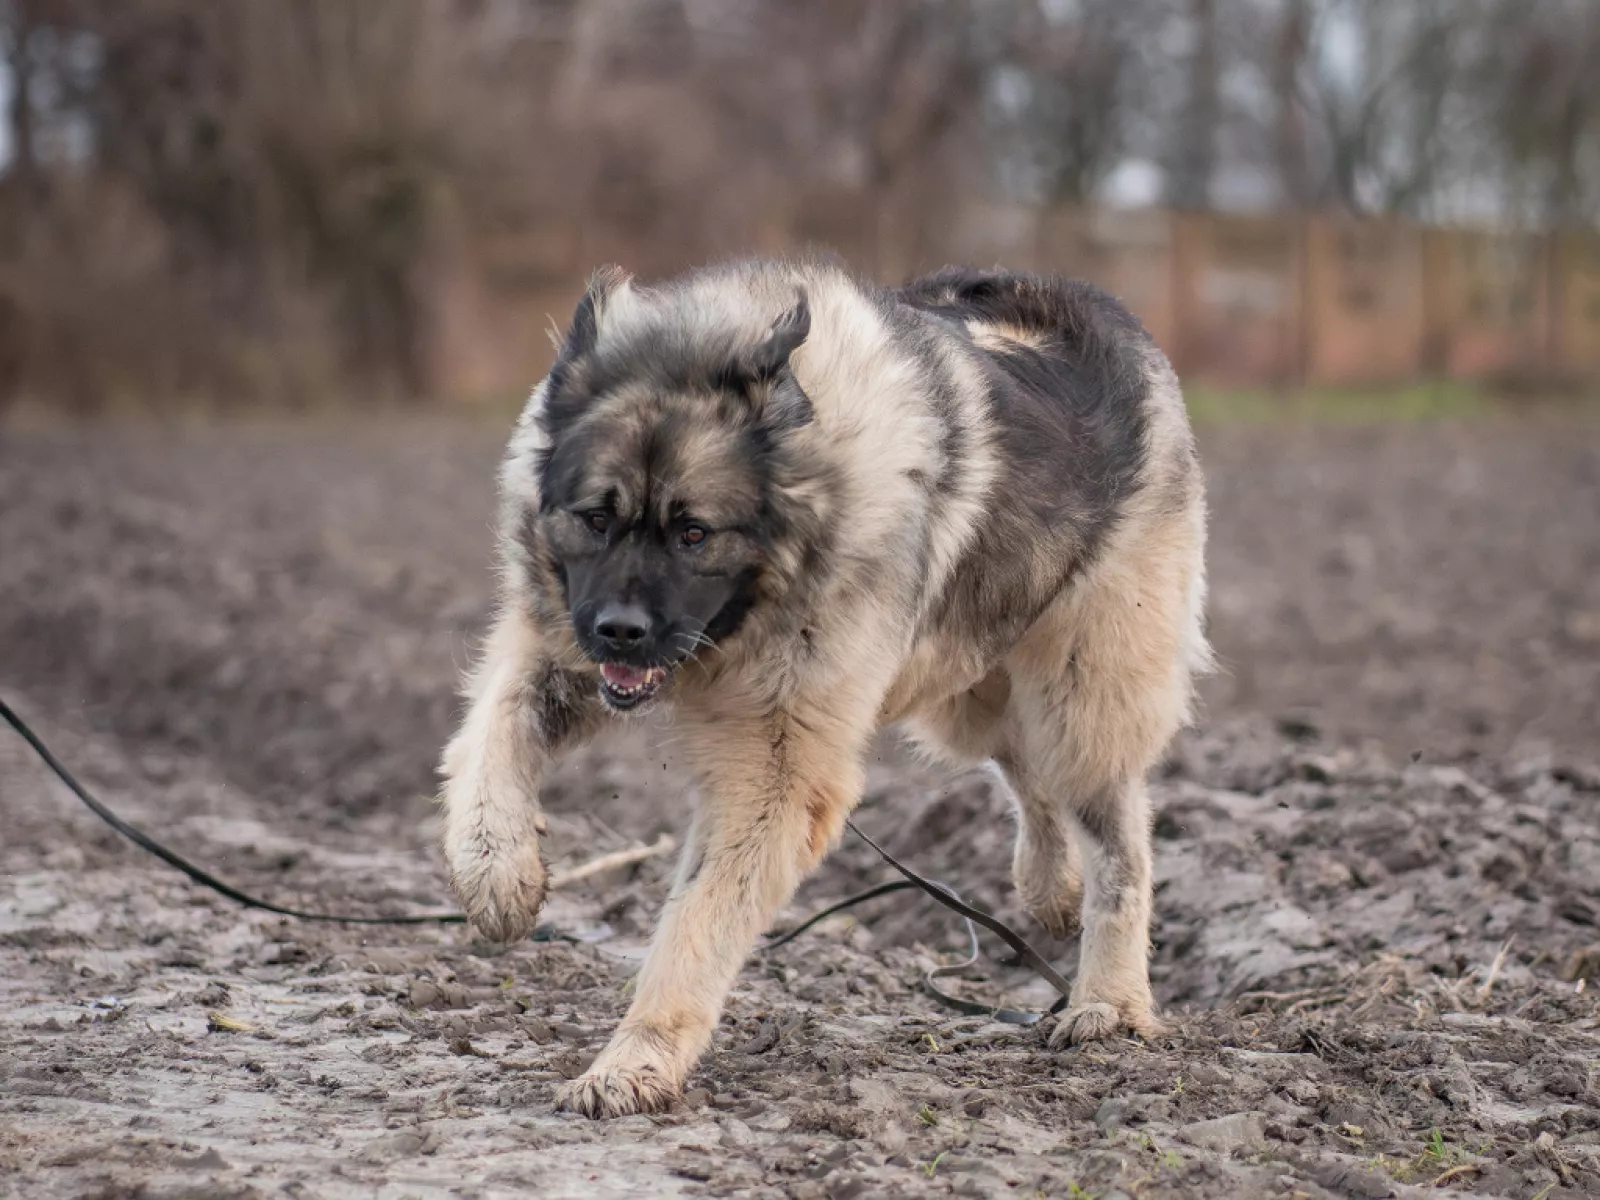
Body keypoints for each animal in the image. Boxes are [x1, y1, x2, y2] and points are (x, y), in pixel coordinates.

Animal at [439, 256, 1210, 1118]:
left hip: (1079, 694)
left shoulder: (779, 773)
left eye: (693, 533)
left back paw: (1108, 1000)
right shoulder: (558, 656)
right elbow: (487, 742)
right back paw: (1051, 890)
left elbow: (697, 923)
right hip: (968, 685)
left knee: (1116, 838)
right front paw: (499, 879)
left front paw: (636, 1059)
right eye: (596, 519)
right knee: (1025, 769)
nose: (619, 631)